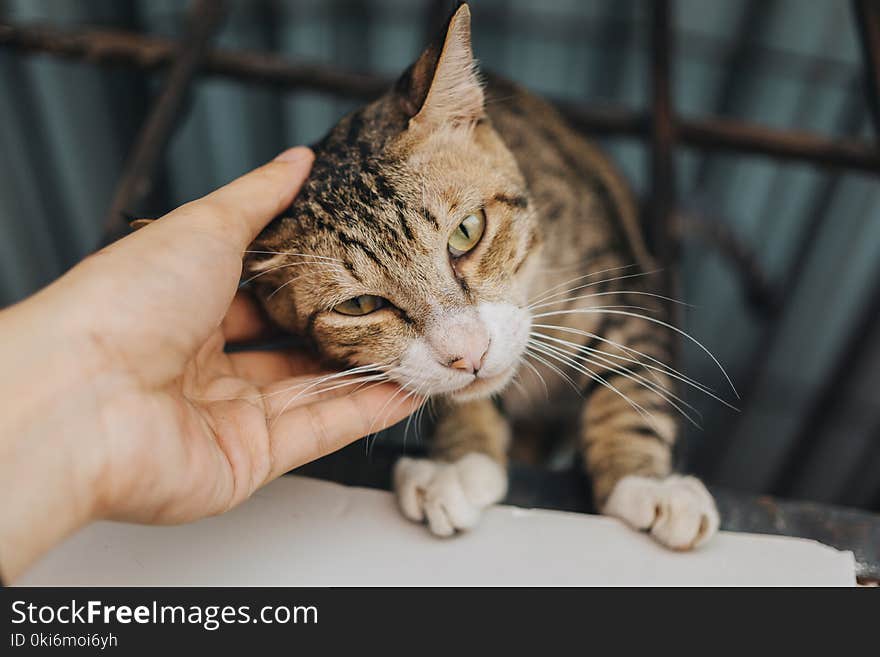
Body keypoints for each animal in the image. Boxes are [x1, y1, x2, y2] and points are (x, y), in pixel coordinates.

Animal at [244, 3, 720, 548]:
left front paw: (647, 482)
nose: (468, 353)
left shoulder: (616, 286)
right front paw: (458, 460)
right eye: (359, 305)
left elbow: (633, 375)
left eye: (467, 232)